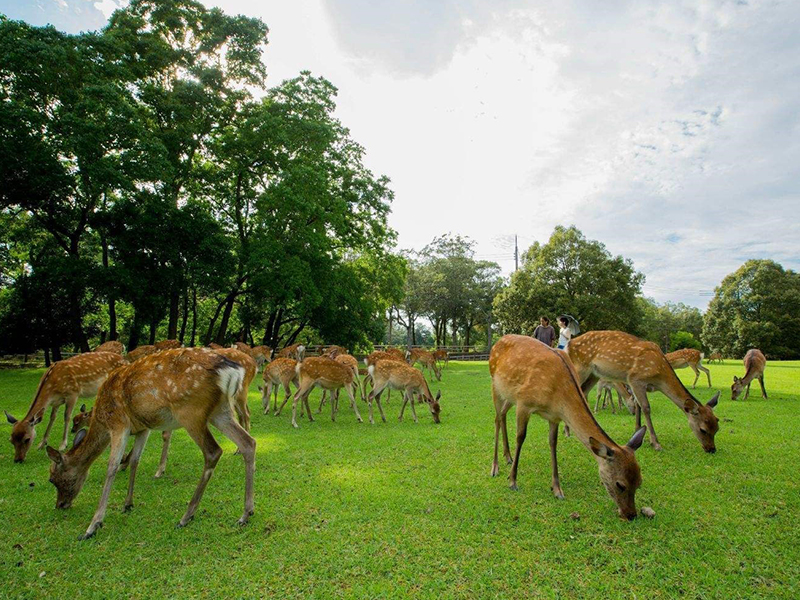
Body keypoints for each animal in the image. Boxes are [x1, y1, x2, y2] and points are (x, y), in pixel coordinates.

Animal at [45, 346, 256, 540]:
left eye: (53, 479)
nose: (60, 505)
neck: (101, 418)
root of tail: (232, 370)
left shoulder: (119, 424)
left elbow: (112, 467)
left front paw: (92, 526)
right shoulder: (142, 428)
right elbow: (134, 461)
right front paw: (127, 504)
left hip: (190, 411)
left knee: (213, 451)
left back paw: (186, 516)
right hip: (220, 410)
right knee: (248, 442)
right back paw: (246, 514)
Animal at [488, 332, 648, 520]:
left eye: (639, 482)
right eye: (620, 484)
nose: (631, 514)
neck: (558, 395)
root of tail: (498, 341)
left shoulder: (554, 417)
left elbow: (553, 444)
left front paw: (557, 489)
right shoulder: (524, 403)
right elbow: (520, 438)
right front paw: (512, 481)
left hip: (509, 395)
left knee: (503, 415)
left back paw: (508, 456)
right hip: (496, 385)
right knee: (497, 418)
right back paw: (495, 467)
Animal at [564, 330, 720, 452]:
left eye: (717, 427)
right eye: (703, 429)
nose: (711, 449)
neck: (659, 375)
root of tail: (568, 345)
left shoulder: (637, 384)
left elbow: (638, 405)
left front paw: (637, 431)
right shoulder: (635, 379)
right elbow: (645, 407)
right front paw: (655, 443)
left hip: (594, 375)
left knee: (582, 392)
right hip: (580, 367)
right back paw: (567, 432)